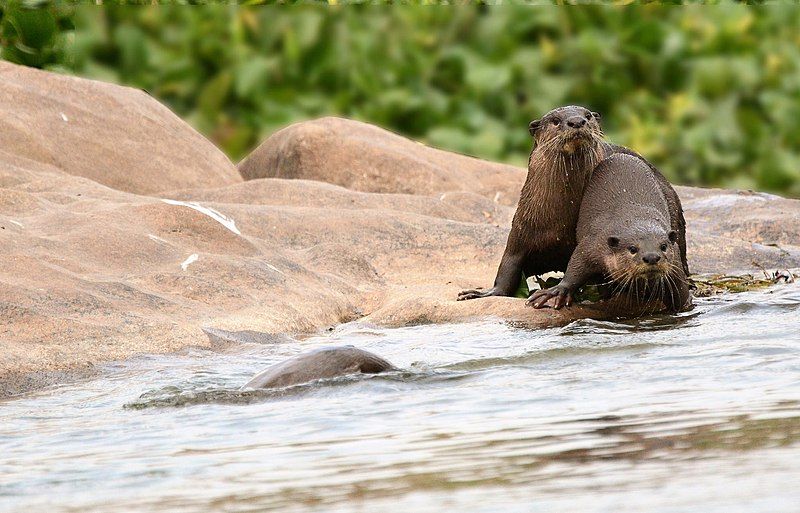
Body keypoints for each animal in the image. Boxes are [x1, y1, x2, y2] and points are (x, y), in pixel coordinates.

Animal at [528, 152, 692, 312]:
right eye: (633, 249)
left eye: (663, 246)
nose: (652, 257)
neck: (635, 217)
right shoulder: (593, 243)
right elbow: (576, 266)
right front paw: (558, 291)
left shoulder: (675, 258)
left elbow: (680, 290)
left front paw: (685, 303)